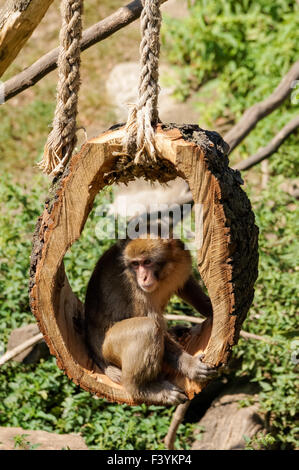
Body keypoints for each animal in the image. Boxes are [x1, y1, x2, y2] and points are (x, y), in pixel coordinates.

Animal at [85, 237, 217, 406]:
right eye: (135, 264)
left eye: (147, 262)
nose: (143, 278)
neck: (164, 272)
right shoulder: (135, 288)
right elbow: (154, 324)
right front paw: (190, 365)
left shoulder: (181, 258)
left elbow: (186, 285)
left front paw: (210, 308)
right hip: (108, 348)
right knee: (147, 327)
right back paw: (143, 390)